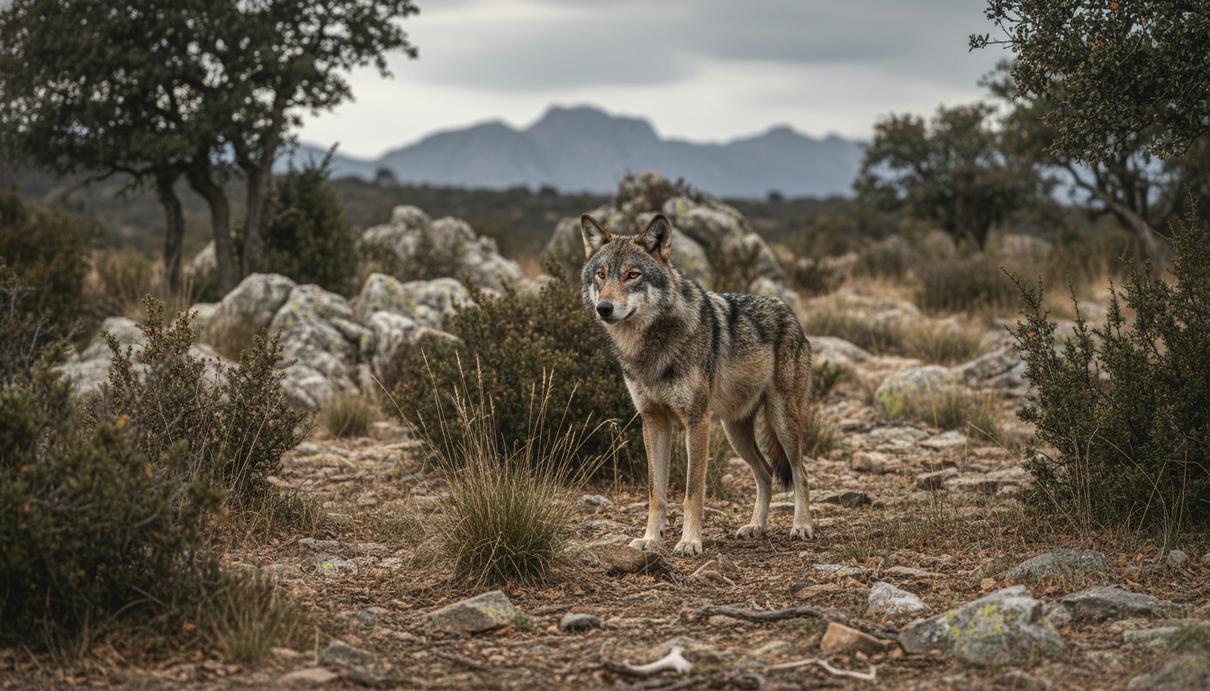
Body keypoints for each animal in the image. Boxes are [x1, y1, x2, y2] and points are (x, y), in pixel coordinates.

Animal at [579, 212, 814, 556]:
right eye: (601, 274)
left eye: (633, 275)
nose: (604, 308)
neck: (651, 350)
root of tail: (790, 311)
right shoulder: (653, 421)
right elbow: (656, 492)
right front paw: (651, 539)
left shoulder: (696, 420)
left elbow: (693, 491)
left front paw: (689, 541)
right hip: (736, 432)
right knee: (766, 473)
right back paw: (756, 526)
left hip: (782, 420)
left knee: (800, 473)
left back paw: (802, 526)